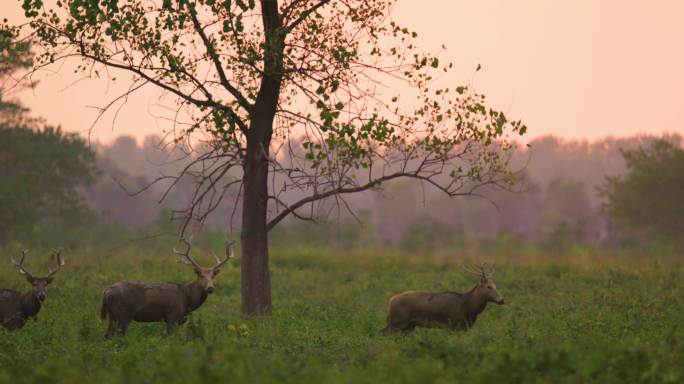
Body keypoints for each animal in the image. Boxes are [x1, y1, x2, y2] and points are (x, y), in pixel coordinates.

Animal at [99, 237, 235, 340]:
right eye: (200, 275)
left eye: (213, 276)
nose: (210, 288)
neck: (187, 299)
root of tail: (106, 292)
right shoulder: (172, 316)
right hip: (124, 314)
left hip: (113, 315)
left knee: (107, 336)